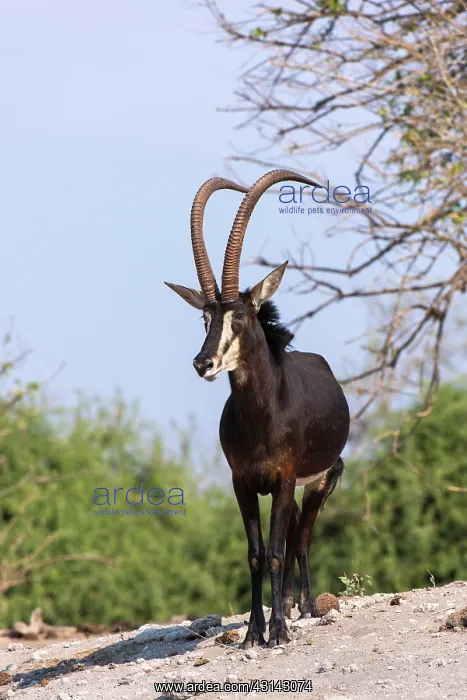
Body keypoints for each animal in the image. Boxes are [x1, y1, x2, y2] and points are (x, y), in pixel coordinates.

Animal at [166, 170, 350, 647]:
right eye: (206, 318)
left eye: (241, 317)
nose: (203, 363)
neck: (262, 418)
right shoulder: (243, 483)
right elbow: (255, 552)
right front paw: (253, 633)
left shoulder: (284, 480)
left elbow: (278, 551)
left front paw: (278, 633)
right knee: (291, 534)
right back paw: (284, 604)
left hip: (318, 479)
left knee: (301, 538)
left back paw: (304, 607)